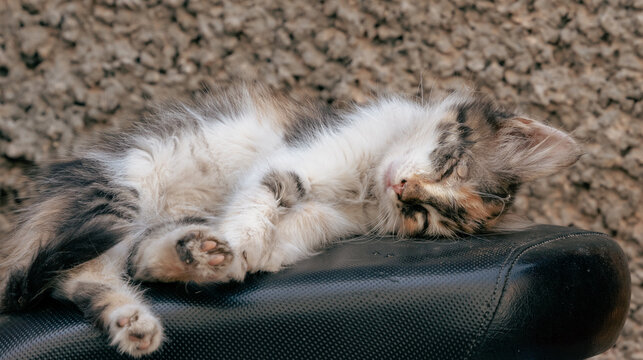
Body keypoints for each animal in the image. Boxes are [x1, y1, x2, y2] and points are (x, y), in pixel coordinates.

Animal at [0, 83, 580, 354]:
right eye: (450, 164)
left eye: (424, 218)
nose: (403, 188)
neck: (364, 184)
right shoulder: (302, 155)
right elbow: (273, 191)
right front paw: (242, 237)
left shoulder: (330, 217)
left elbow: (291, 230)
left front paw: (254, 252)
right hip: (122, 188)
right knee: (77, 272)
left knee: (129, 264)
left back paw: (179, 276)